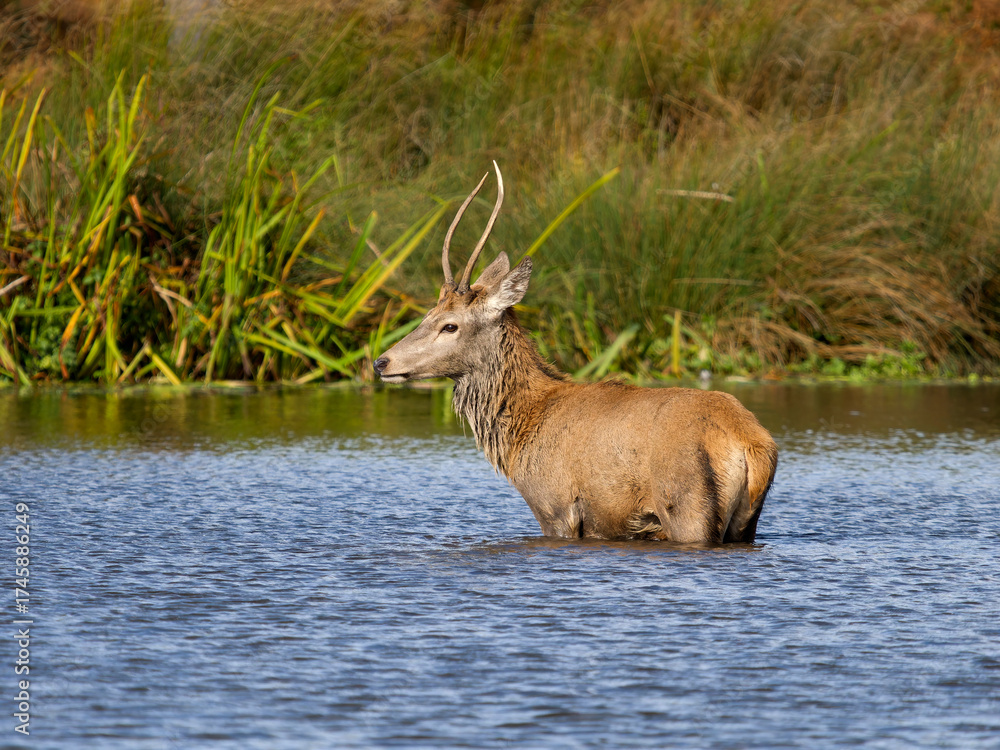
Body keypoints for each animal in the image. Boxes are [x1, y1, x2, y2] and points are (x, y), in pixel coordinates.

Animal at [374, 162, 778, 543]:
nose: (381, 361)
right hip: (745, 521)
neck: (522, 430)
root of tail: (752, 444)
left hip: (687, 505)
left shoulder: (555, 506)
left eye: (450, 325)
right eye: (427, 314)